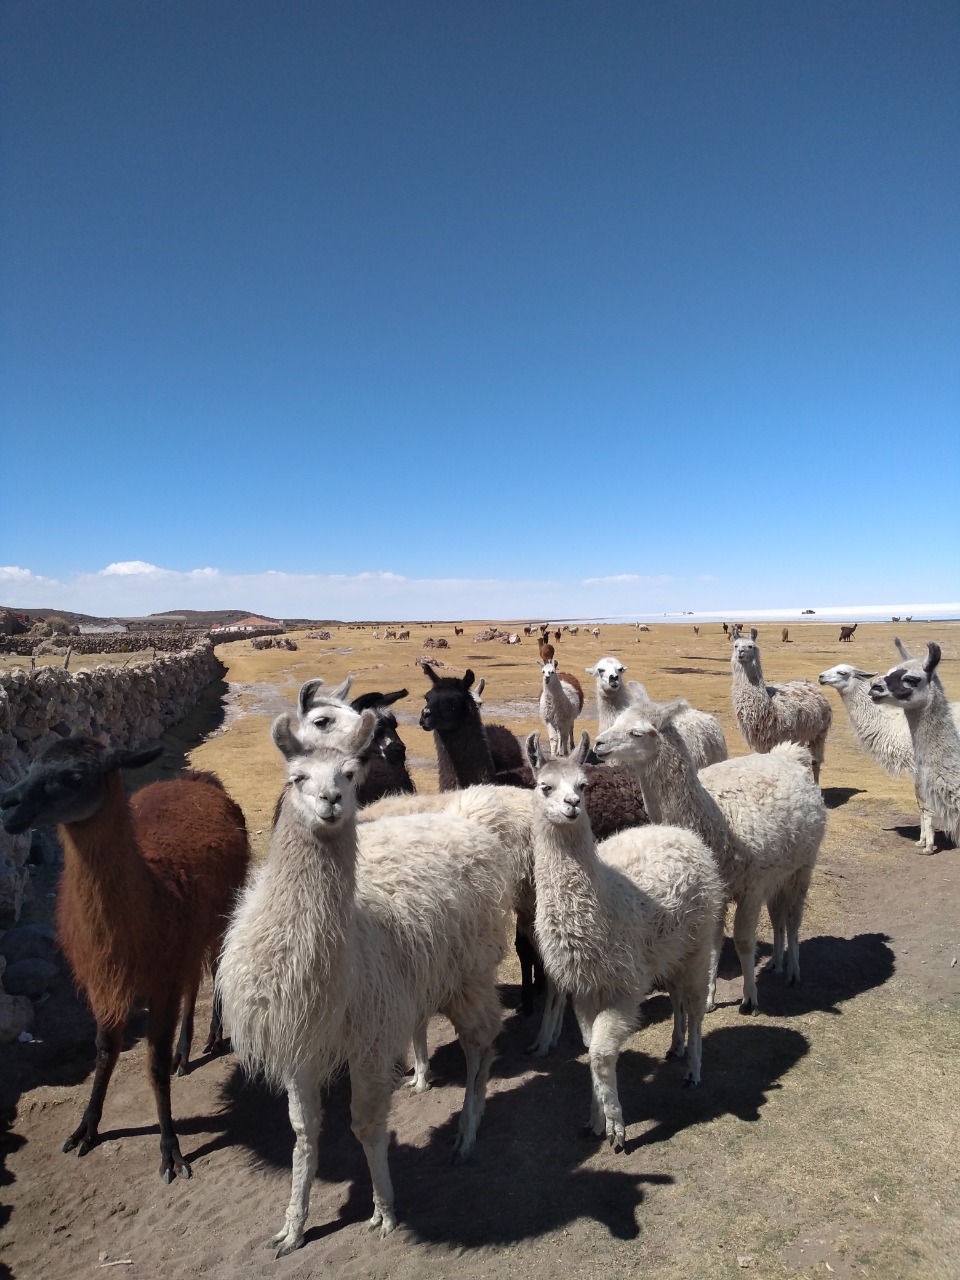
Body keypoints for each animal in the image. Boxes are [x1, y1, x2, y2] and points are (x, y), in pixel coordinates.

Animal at [0, 738, 251, 1182]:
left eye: (74, 775)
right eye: (30, 766)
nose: (9, 803)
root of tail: (198, 779)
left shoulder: (160, 978)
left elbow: (153, 1065)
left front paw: (171, 1152)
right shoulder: (104, 981)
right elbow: (104, 1051)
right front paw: (85, 1129)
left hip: (223, 909)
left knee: (217, 966)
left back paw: (210, 1037)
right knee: (194, 980)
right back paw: (184, 1052)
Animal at [217, 713, 510, 1251]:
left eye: (350, 774)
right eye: (297, 777)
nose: (331, 801)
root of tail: (463, 818)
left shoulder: (368, 1040)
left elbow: (367, 1125)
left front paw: (385, 1210)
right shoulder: (299, 1043)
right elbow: (303, 1133)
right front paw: (292, 1227)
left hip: (470, 972)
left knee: (481, 1044)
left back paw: (467, 1134)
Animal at [525, 731, 724, 1148]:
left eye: (582, 785)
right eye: (545, 786)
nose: (572, 805)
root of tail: (683, 833)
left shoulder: (623, 987)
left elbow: (601, 1054)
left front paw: (616, 1127)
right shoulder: (585, 988)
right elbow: (590, 1052)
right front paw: (596, 1118)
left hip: (697, 943)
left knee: (696, 1004)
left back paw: (694, 1069)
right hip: (668, 951)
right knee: (678, 997)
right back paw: (676, 1046)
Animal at [594, 701, 826, 1013]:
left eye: (636, 732)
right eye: (615, 721)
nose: (599, 744)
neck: (720, 824)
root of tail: (789, 754)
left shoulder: (751, 886)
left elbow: (743, 941)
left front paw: (750, 998)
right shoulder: (720, 888)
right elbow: (715, 943)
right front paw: (709, 998)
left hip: (804, 865)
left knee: (793, 917)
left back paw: (793, 971)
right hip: (779, 870)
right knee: (777, 913)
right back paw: (776, 963)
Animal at [731, 628, 832, 784]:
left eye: (751, 646)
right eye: (736, 645)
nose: (741, 652)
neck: (768, 708)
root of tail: (810, 685)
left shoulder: (780, 739)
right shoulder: (762, 744)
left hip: (820, 732)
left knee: (816, 761)